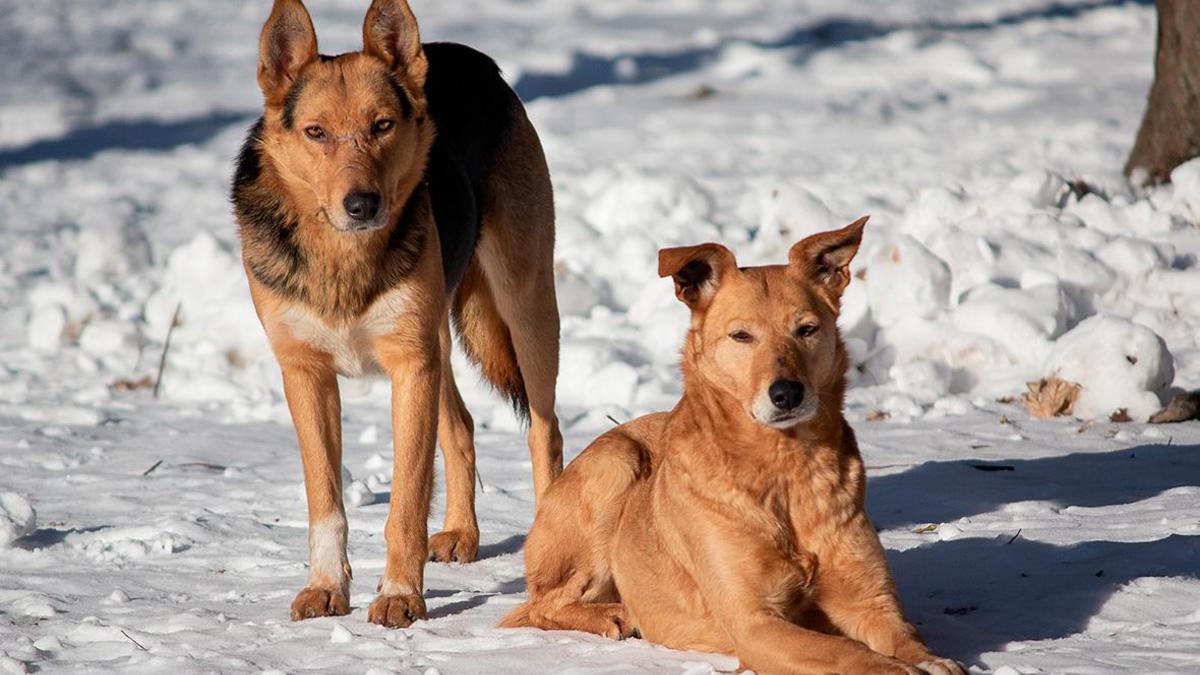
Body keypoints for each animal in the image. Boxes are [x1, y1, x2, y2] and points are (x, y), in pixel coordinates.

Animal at [236, 0, 564, 624]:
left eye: (382, 126)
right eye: (316, 132)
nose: (362, 205)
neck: (343, 258)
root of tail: (471, 58)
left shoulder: (409, 367)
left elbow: (407, 502)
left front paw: (400, 596)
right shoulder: (307, 374)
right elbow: (325, 502)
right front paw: (325, 588)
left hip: (526, 306)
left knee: (545, 431)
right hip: (438, 337)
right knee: (461, 427)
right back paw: (462, 532)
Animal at [504, 218, 964, 667]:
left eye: (807, 329)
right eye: (741, 336)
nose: (787, 393)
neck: (783, 468)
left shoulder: (870, 602)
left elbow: (905, 640)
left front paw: (930, 661)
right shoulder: (754, 622)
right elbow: (847, 652)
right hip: (616, 464)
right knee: (538, 606)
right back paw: (612, 614)